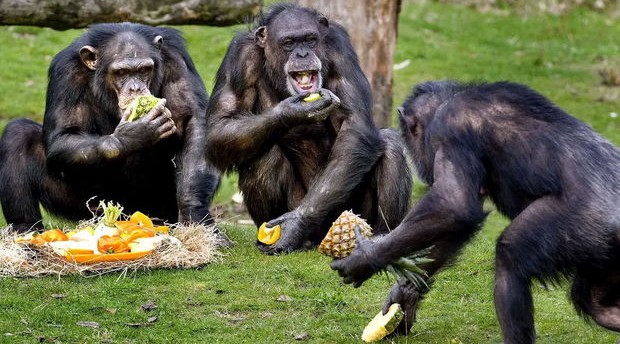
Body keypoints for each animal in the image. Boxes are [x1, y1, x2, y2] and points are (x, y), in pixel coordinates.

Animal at [0, 22, 230, 245]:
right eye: (121, 72)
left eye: (144, 70)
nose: (136, 88)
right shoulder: (66, 71)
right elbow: (64, 135)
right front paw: (132, 135)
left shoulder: (176, 59)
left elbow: (192, 120)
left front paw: (196, 217)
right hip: (90, 209)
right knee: (18, 133)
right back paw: (25, 233)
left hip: (156, 211)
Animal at [206, 2, 414, 253]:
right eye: (288, 43)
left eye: (310, 39)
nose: (302, 54)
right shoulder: (239, 57)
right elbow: (220, 128)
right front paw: (291, 112)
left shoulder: (339, 48)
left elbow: (355, 124)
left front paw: (296, 223)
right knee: (264, 154)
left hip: (349, 213)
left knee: (390, 144)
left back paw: (382, 236)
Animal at [332, 80, 616, 342]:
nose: (420, 165)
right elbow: (454, 226)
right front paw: (404, 297)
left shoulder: (449, 129)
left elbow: (454, 203)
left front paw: (364, 257)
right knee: (595, 303)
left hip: (577, 223)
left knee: (510, 257)